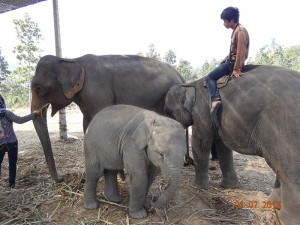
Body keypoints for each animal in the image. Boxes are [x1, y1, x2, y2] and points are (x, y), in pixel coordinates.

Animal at [31, 54, 184, 183]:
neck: (71, 59)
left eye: (38, 87)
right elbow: (87, 126)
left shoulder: (97, 93)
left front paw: (118, 176)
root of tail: (180, 75)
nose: (62, 178)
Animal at [163, 64, 300, 224]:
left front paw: (197, 186)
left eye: (168, 112)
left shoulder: (202, 111)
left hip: (285, 126)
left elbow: (201, 143)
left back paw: (285, 219)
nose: (187, 162)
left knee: (289, 170)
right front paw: (229, 186)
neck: (193, 83)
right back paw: (270, 204)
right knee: (281, 167)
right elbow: (223, 147)